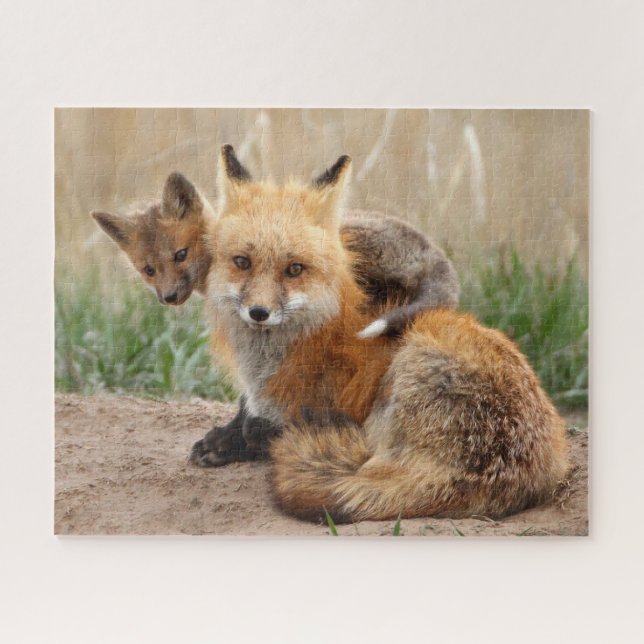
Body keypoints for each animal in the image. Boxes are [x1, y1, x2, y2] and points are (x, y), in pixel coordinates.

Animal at [196, 145, 569, 522]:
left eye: (294, 269)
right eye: (242, 262)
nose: (259, 313)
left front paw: (243, 438)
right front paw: (224, 439)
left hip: (408, 367)